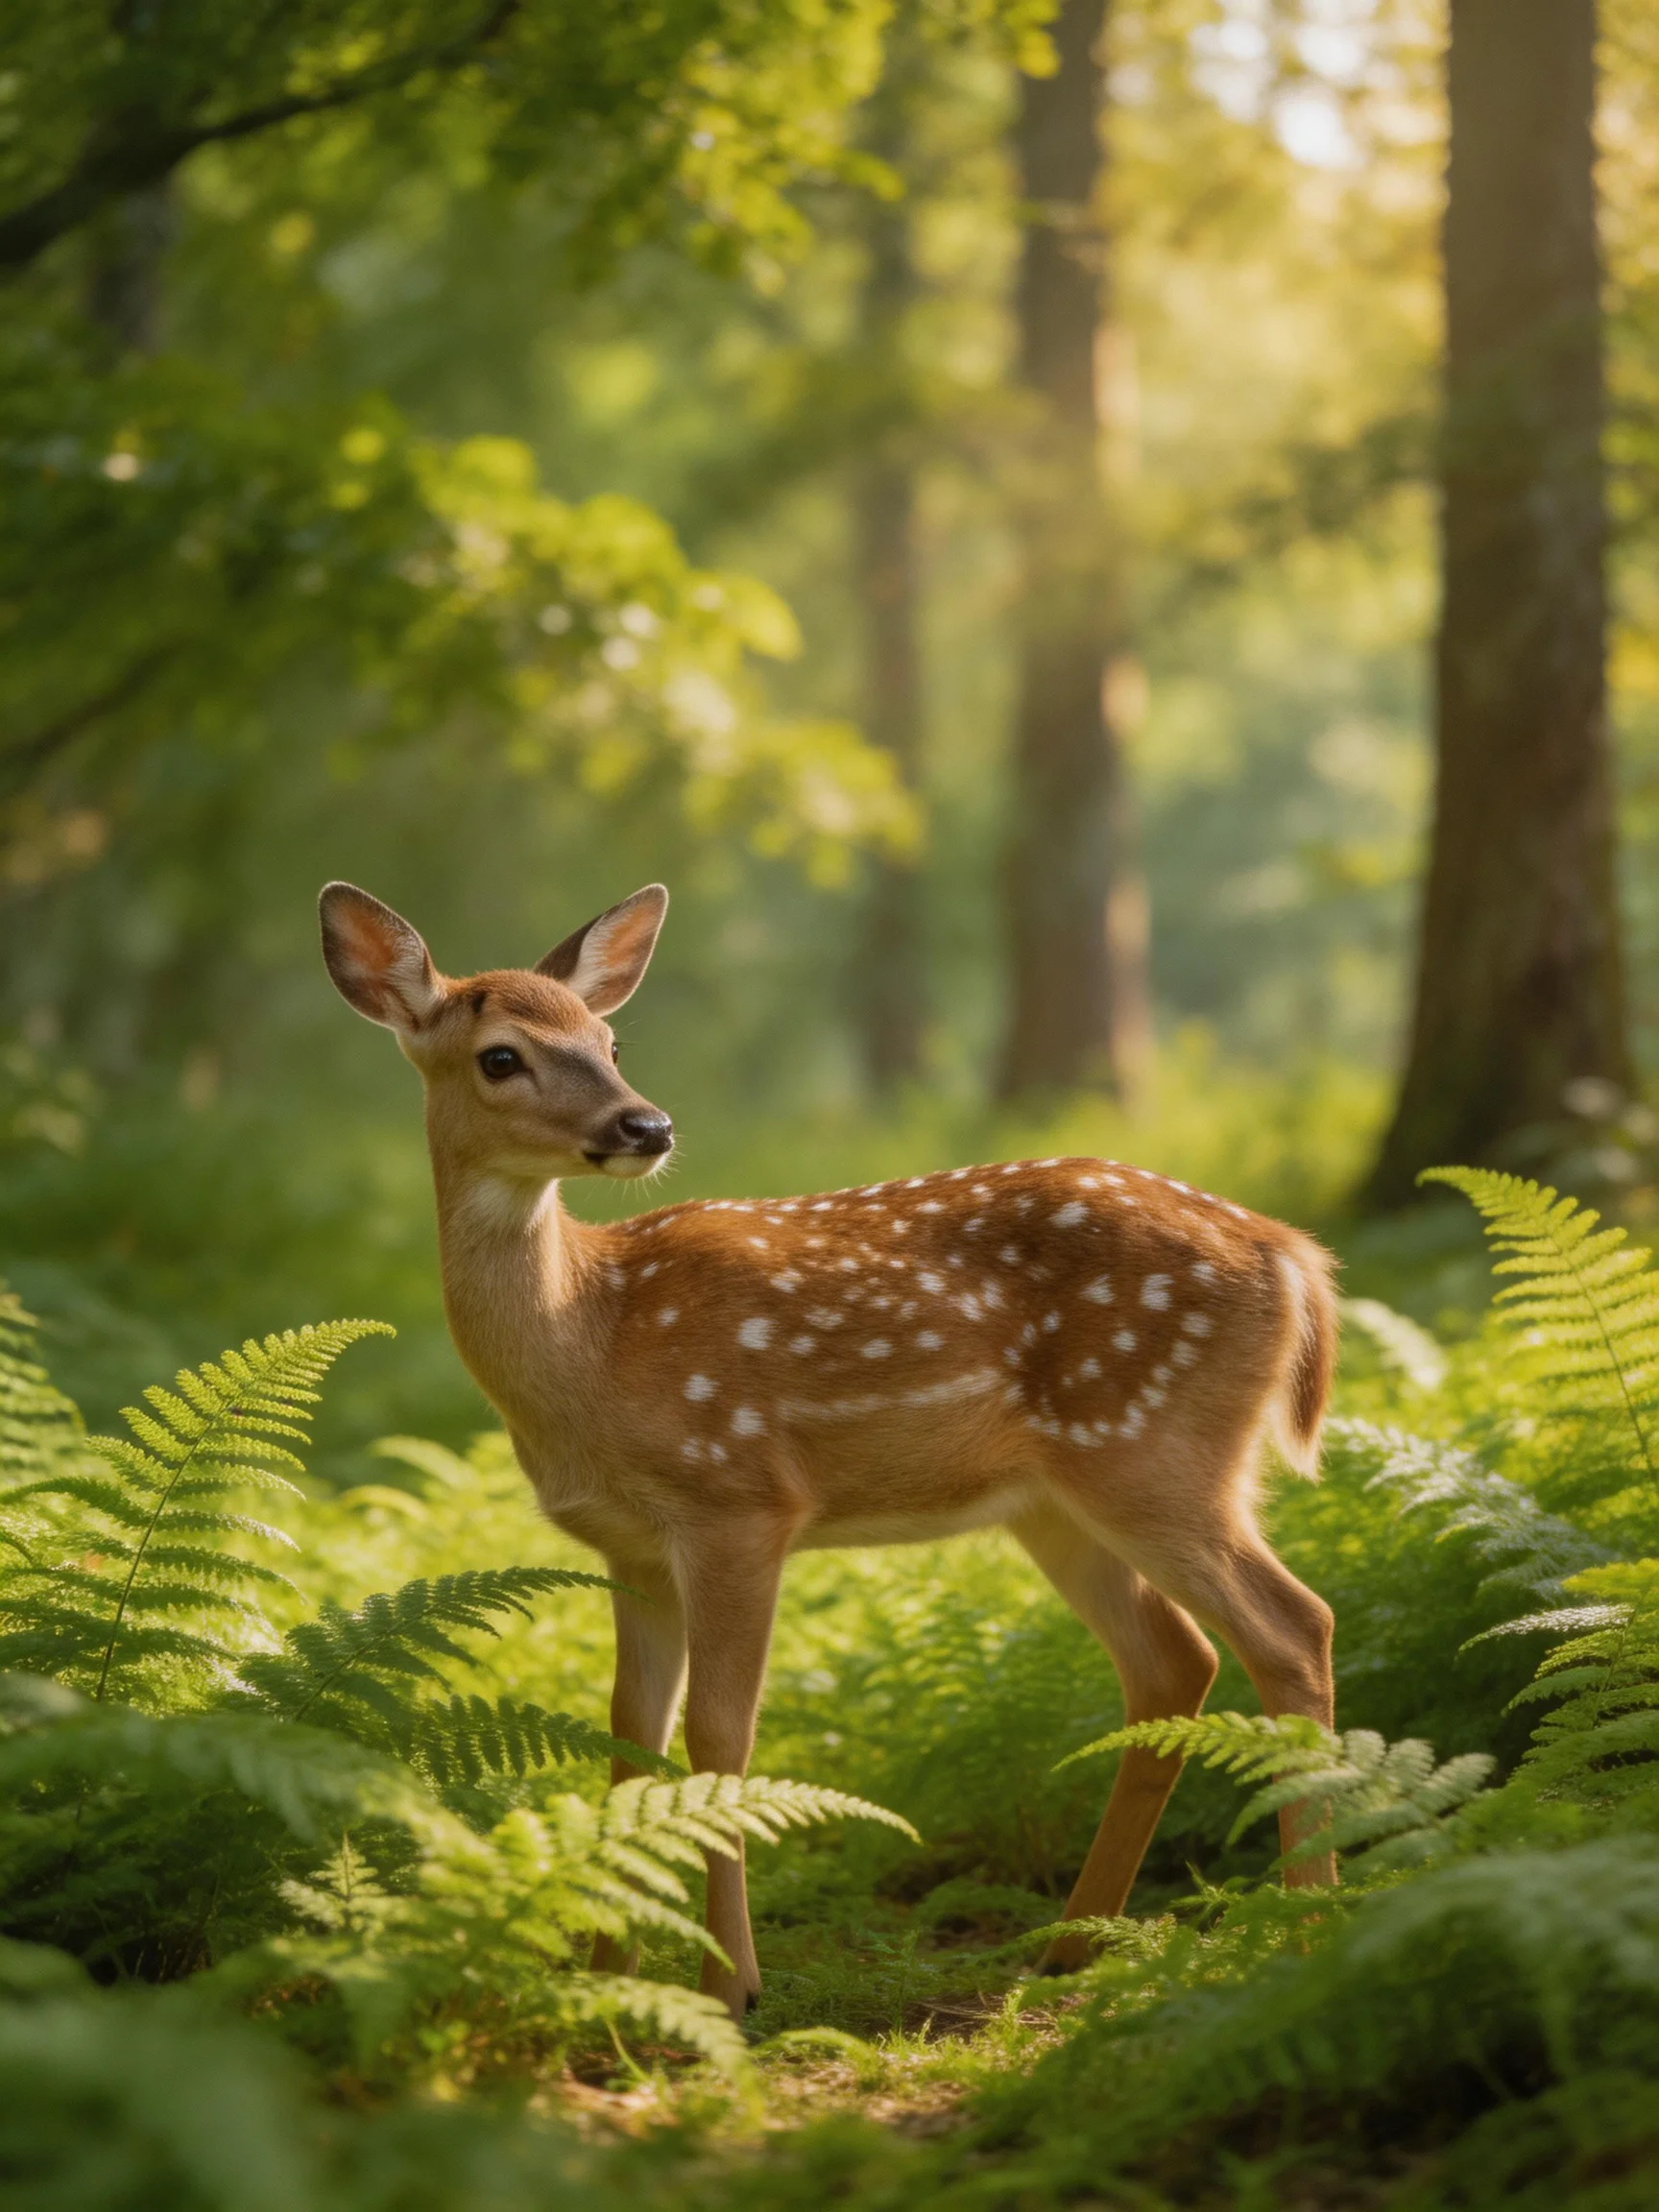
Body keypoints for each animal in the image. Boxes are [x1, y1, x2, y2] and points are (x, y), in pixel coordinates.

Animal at [319, 877, 1339, 2020]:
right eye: (501, 1056)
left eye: (610, 1038)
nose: (645, 1124)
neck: (591, 1340)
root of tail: (1292, 1255)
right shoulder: (631, 1549)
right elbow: (630, 1735)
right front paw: (605, 1977)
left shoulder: (739, 1502)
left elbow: (720, 1737)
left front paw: (730, 1989)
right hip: (1060, 1499)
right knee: (1175, 1659)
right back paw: (1070, 1948)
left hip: (1159, 1451)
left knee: (1292, 1627)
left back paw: (1311, 1925)